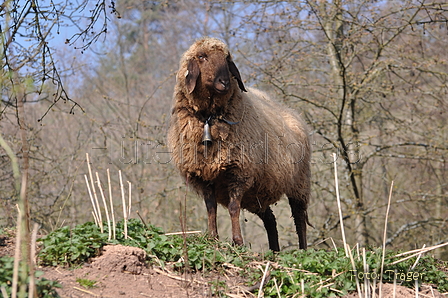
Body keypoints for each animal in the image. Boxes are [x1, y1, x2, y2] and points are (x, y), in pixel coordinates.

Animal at [166, 37, 310, 251]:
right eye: (202, 56)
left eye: (227, 58)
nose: (224, 82)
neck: (209, 118)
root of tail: (292, 113)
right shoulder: (204, 175)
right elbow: (211, 208)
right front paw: (213, 238)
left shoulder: (238, 171)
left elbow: (234, 208)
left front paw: (238, 242)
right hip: (259, 193)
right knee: (270, 220)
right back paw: (274, 251)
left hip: (299, 182)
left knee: (299, 217)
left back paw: (303, 250)